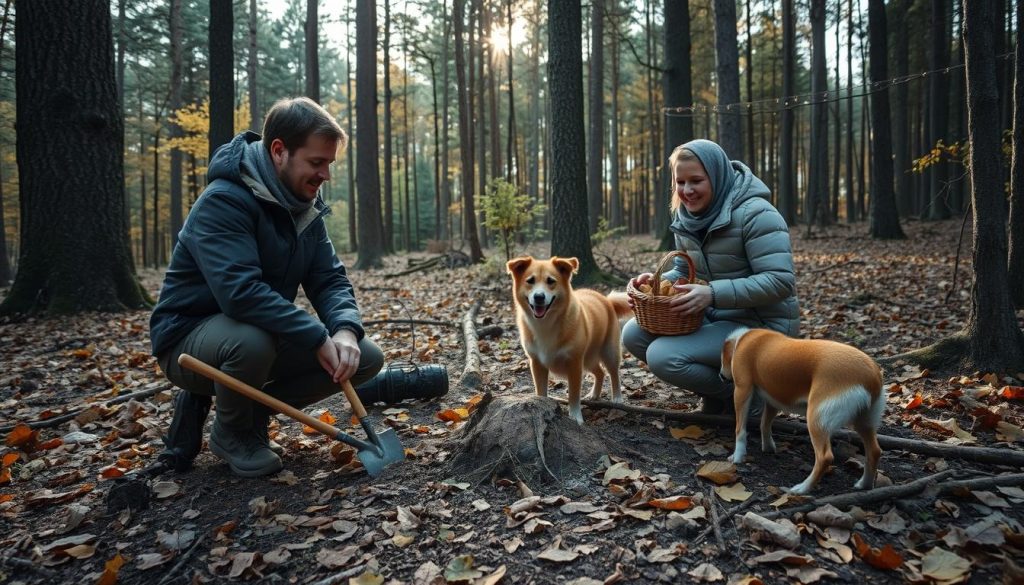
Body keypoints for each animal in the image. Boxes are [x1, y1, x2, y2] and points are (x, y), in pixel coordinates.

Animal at [507, 256, 634, 426]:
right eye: (530, 281)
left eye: (551, 281)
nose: (539, 297)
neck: (546, 323)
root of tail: (606, 299)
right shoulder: (537, 363)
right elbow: (541, 390)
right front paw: (542, 406)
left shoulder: (574, 363)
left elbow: (573, 394)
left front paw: (575, 416)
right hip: (588, 358)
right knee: (600, 372)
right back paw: (594, 394)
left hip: (608, 352)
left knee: (614, 373)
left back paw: (618, 397)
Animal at [720, 327, 880, 495]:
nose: (721, 376)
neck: (742, 339)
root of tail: (871, 376)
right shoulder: (773, 401)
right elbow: (765, 425)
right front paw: (768, 447)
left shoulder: (742, 390)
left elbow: (740, 430)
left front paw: (737, 457)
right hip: (865, 421)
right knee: (874, 452)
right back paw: (865, 484)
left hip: (817, 419)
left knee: (825, 457)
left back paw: (803, 488)